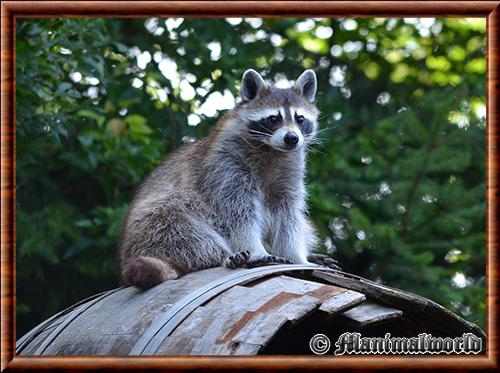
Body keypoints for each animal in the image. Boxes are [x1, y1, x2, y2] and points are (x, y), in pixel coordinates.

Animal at [118, 70, 338, 290]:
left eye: (300, 119)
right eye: (273, 119)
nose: (292, 138)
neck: (271, 150)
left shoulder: (289, 173)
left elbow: (288, 219)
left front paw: (299, 257)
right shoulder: (226, 167)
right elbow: (237, 214)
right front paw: (256, 250)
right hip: (151, 228)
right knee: (182, 227)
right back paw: (225, 256)